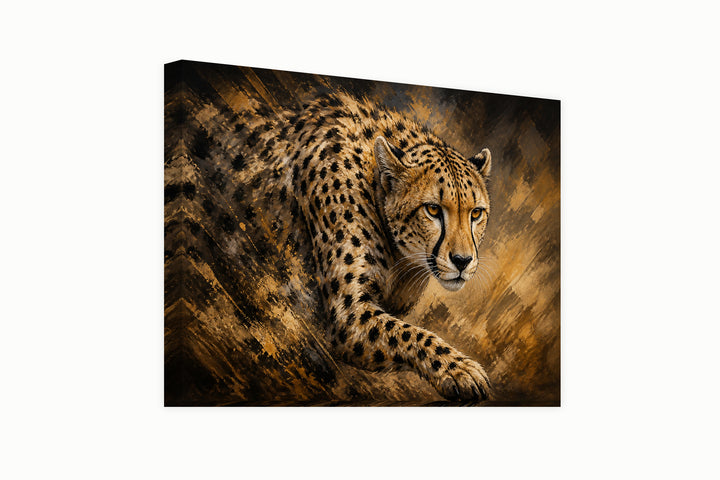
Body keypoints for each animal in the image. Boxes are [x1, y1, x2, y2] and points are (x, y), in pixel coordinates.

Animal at [225, 90, 494, 402]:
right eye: (433, 209)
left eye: (476, 213)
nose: (462, 261)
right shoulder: (348, 314)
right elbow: (410, 333)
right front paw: (459, 369)